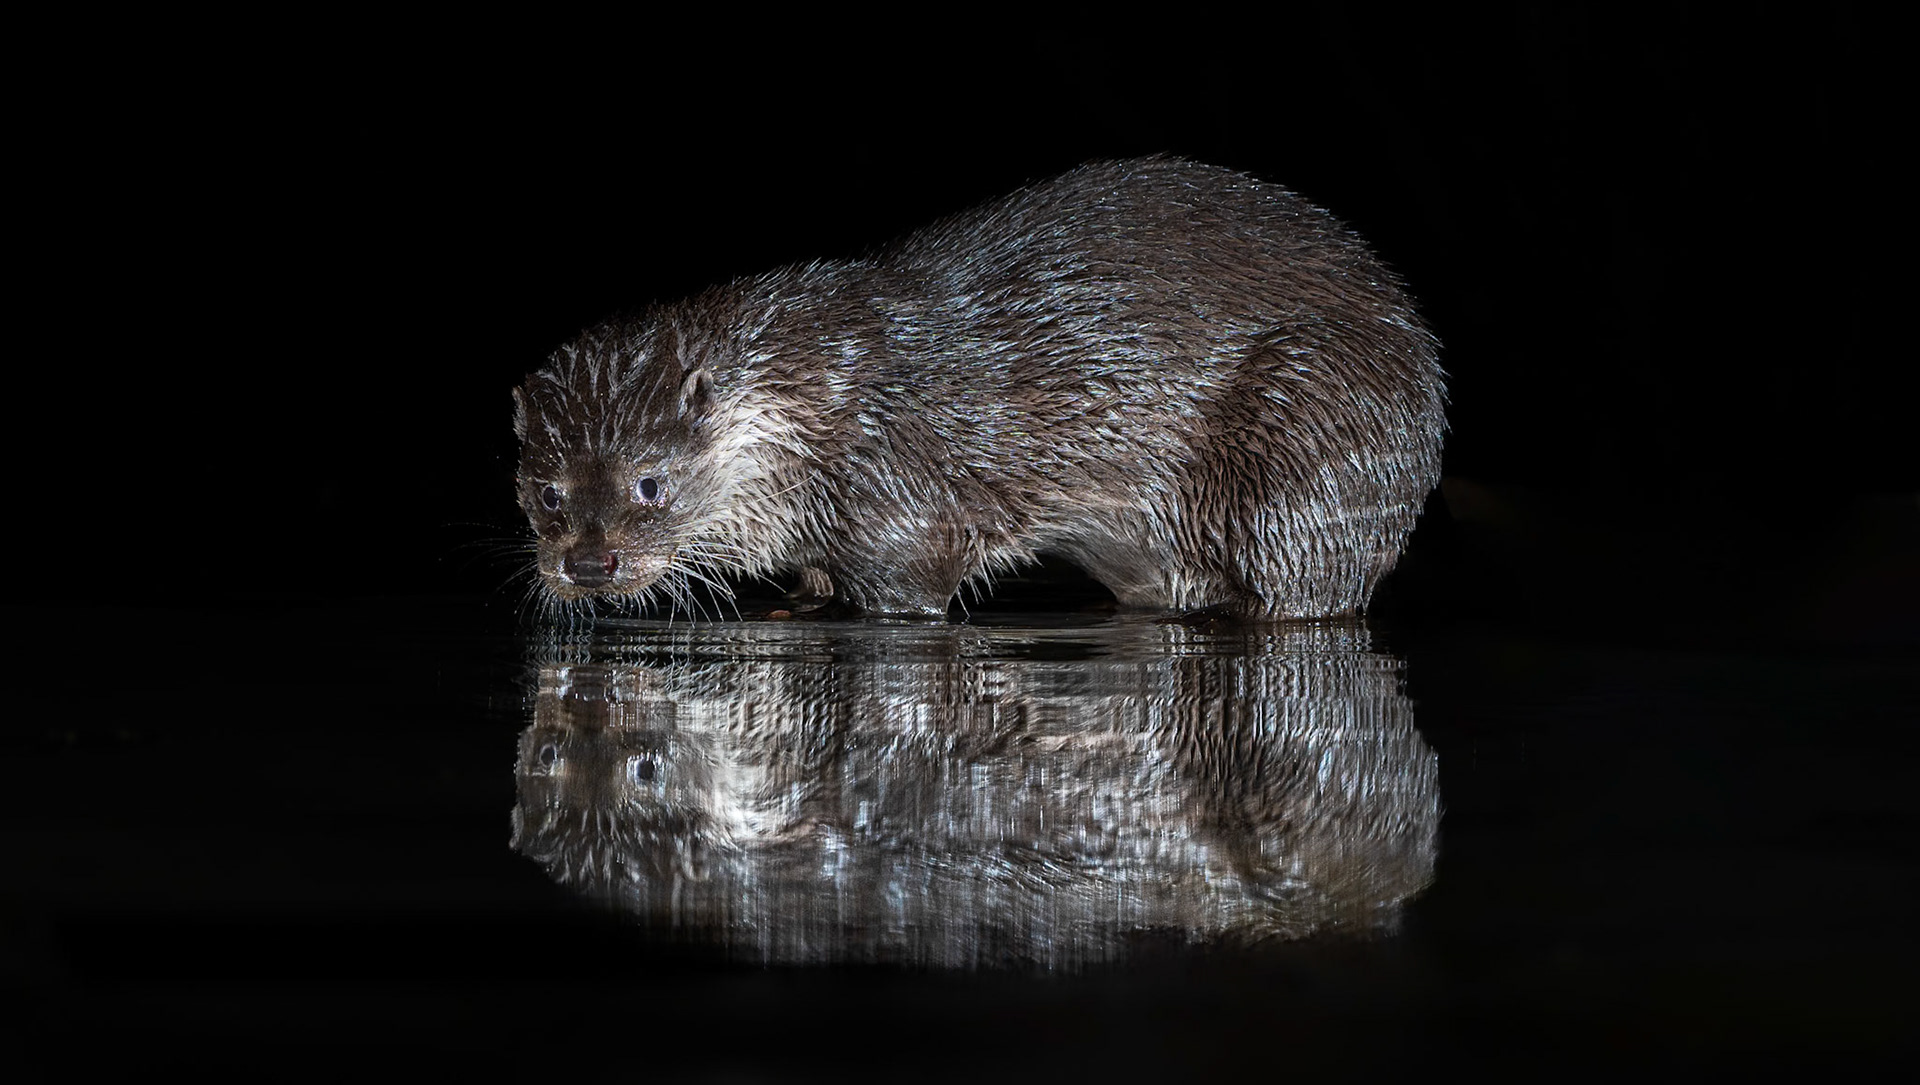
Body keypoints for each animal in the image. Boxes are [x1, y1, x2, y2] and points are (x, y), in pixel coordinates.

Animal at [511, 157, 1445, 620]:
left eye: (650, 483)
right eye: (548, 493)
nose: (589, 562)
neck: (818, 406)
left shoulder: (902, 505)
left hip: (1313, 431)